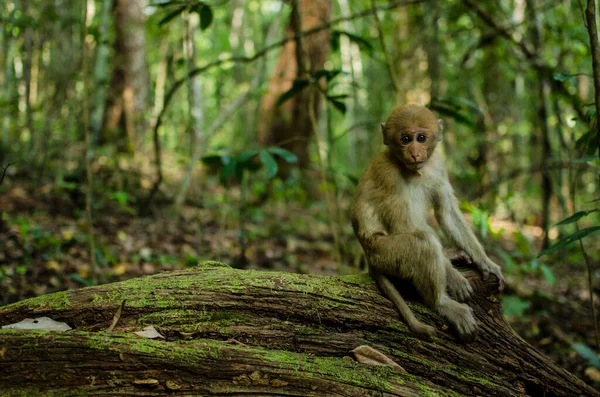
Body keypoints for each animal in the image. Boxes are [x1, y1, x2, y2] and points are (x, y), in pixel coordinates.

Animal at [350, 103, 504, 340]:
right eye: (405, 139)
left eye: (421, 138)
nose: (414, 152)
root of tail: (368, 256)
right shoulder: (388, 174)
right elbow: (405, 226)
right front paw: (454, 278)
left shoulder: (438, 166)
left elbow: (446, 214)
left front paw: (485, 261)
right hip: (383, 253)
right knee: (424, 242)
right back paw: (442, 303)